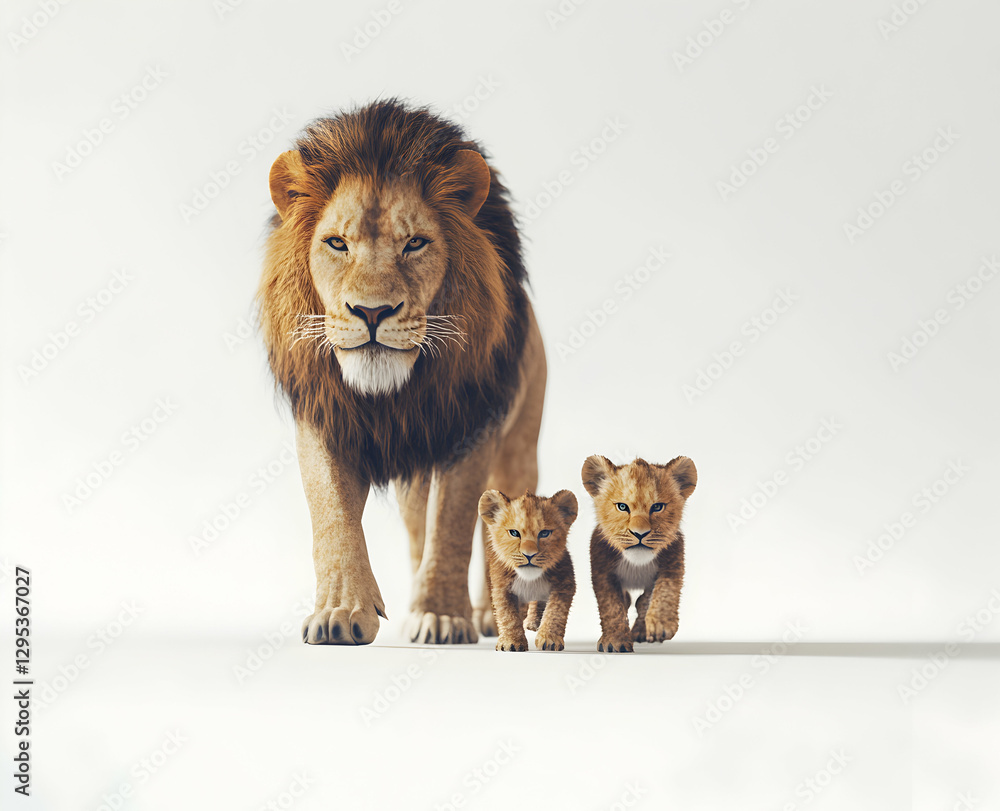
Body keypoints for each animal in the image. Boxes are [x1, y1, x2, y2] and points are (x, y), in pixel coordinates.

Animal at [257, 99, 546, 645]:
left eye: (415, 243)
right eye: (337, 243)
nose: (372, 312)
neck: (393, 394)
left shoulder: (471, 427)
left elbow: (452, 525)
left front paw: (442, 617)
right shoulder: (324, 418)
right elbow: (333, 518)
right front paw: (341, 612)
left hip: (520, 446)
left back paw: (492, 615)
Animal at [478, 489, 578, 652]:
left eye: (544, 533)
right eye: (514, 533)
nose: (529, 555)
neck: (529, 579)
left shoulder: (565, 583)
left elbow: (555, 612)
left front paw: (549, 639)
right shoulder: (501, 587)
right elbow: (508, 616)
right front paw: (511, 642)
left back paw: (533, 622)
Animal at [581, 455, 697, 653]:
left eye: (657, 507)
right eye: (622, 507)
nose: (640, 534)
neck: (636, 564)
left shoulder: (672, 563)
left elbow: (663, 592)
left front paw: (661, 625)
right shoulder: (602, 572)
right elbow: (611, 606)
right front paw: (614, 641)